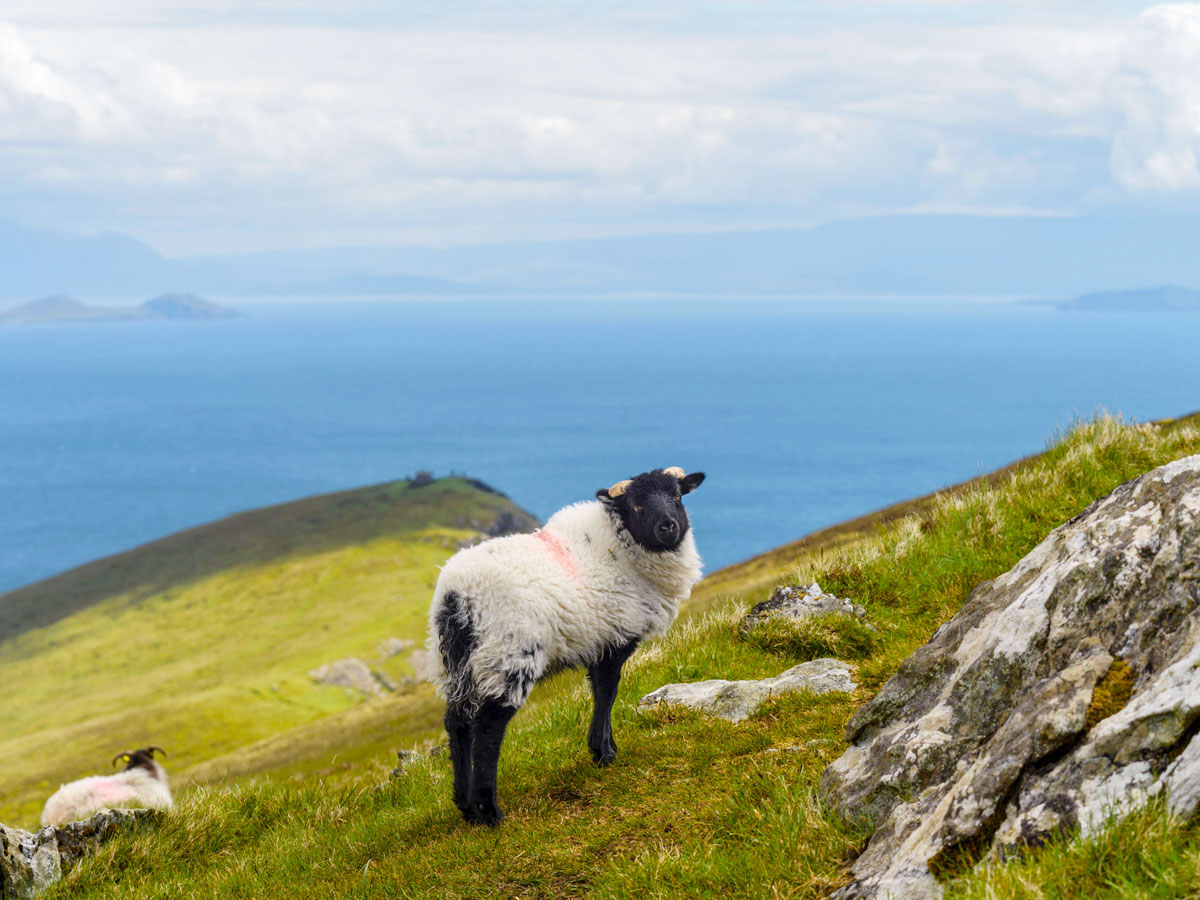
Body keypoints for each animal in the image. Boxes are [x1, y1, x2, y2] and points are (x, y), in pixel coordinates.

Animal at [427, 466, 706, 825]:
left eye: (676, 495)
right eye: (637, 506)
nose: (668, 527)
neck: (621, 547)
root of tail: (456, 596)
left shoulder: (598, 642)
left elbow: (601, 694)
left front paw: (607, 748)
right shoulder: (614, 639)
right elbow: (607, 693)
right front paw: (602, 753)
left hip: (457, 665)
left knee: (457, 724)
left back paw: (465, 806)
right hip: (507, 656)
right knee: (488, 728)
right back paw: (489, 811)